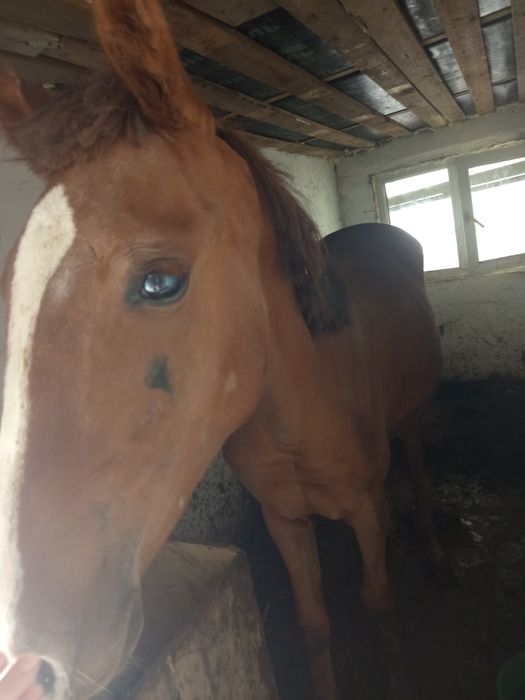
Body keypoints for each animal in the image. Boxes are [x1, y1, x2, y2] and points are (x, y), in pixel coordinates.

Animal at [0, 1, 443, 698]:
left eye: (161, 282)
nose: (21, 662)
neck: (306, 409)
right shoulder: (284, 520)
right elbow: (315, 622)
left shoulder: (368, 509)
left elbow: (380, 602)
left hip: (414, 419)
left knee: (420, 467)